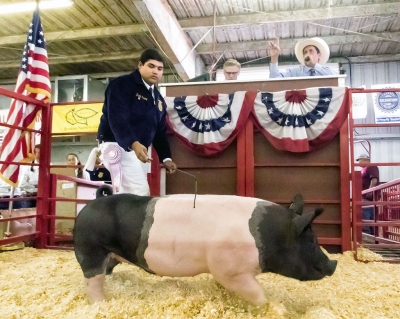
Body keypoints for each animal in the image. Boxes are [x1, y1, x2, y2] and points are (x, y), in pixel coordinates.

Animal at [73, 186, 336, 306]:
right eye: (311, 240)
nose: (333, 264)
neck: (267, 235)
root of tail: (90, 204)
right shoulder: (230, 270)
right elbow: (257, 294)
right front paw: (269, 307)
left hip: (110, 254)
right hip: (90, 250)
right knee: (92, 280)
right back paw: (101, 304)